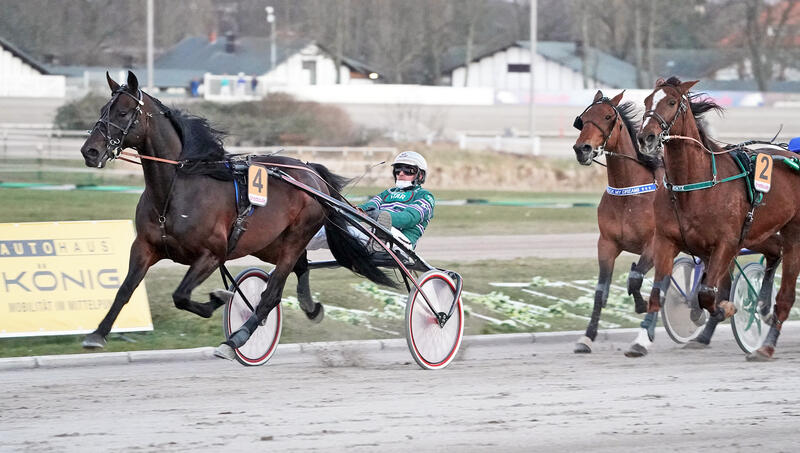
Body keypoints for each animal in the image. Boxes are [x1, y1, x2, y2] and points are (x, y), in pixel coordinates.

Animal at [79, 71, 394, 354]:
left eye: (123, 112)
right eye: (103, 110)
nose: (89, 151)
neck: (174, 191)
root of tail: (311, 172)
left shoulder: (212, 253)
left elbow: (181, 295)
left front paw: (218, 298)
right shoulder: (145, 246)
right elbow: (125, 289)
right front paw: (97, 334)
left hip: (295, 236)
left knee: (273, 291)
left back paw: (237, 339)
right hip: (267, 243)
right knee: (300, 267)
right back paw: (309, 307)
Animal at [576, 89, 664, 354]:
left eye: (607, 116)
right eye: (583, 119)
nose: (582, 149)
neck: (630, 192)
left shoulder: (654, 244)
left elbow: (636, 279)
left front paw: (642, 307)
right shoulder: (606, 244)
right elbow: (600, 291)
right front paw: (587, 336)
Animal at [640, 77, 792, 360]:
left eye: (672, 102)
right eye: (646, 101)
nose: (646, 137)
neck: (693, 185)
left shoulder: (725, 243)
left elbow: (708, 293)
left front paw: (726, 309)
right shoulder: (670, 240)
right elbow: (677, 291)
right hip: (757, 233)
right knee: (775, 251)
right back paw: (764, 306)